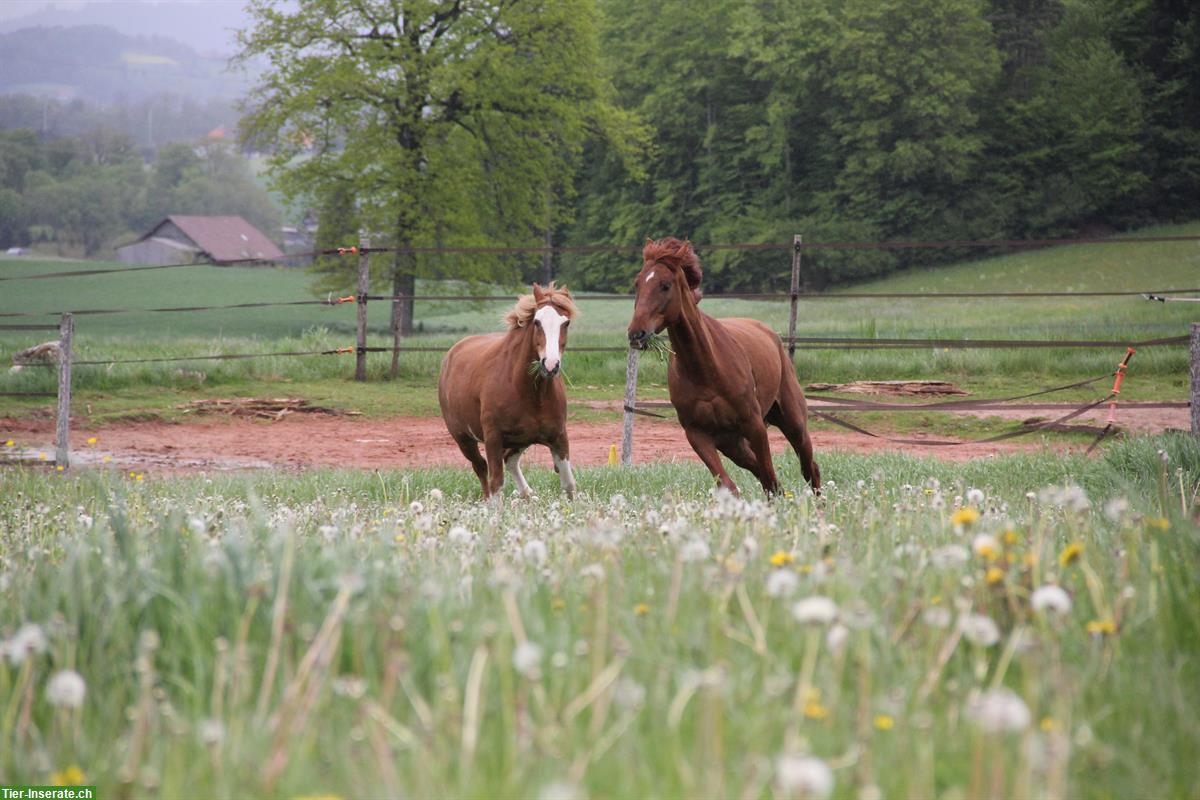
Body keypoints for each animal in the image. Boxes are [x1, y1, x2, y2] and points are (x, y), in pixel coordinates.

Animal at [439, 283, 578, 501]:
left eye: (566, 322)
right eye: (537, 322)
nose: (551, 365)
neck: (528, 392)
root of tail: (451, 355)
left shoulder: (559, 436)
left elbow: (569, 485)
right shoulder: (493, 438)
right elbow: (496, 484)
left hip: (521, 439)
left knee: (510, 459)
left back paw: (528, 494)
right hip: (463, 438)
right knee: (481, 467)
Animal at [628, 236, 816, 494]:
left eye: (665, 285)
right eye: (637, 284)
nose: (636, 333)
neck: (705, 370)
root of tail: (772, 335)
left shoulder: (755, 426)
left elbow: (769, 476)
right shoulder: (697, 434)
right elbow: (729, 484)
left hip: (793, 423)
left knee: (808, 467)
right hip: (734, 445)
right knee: (768, 476)